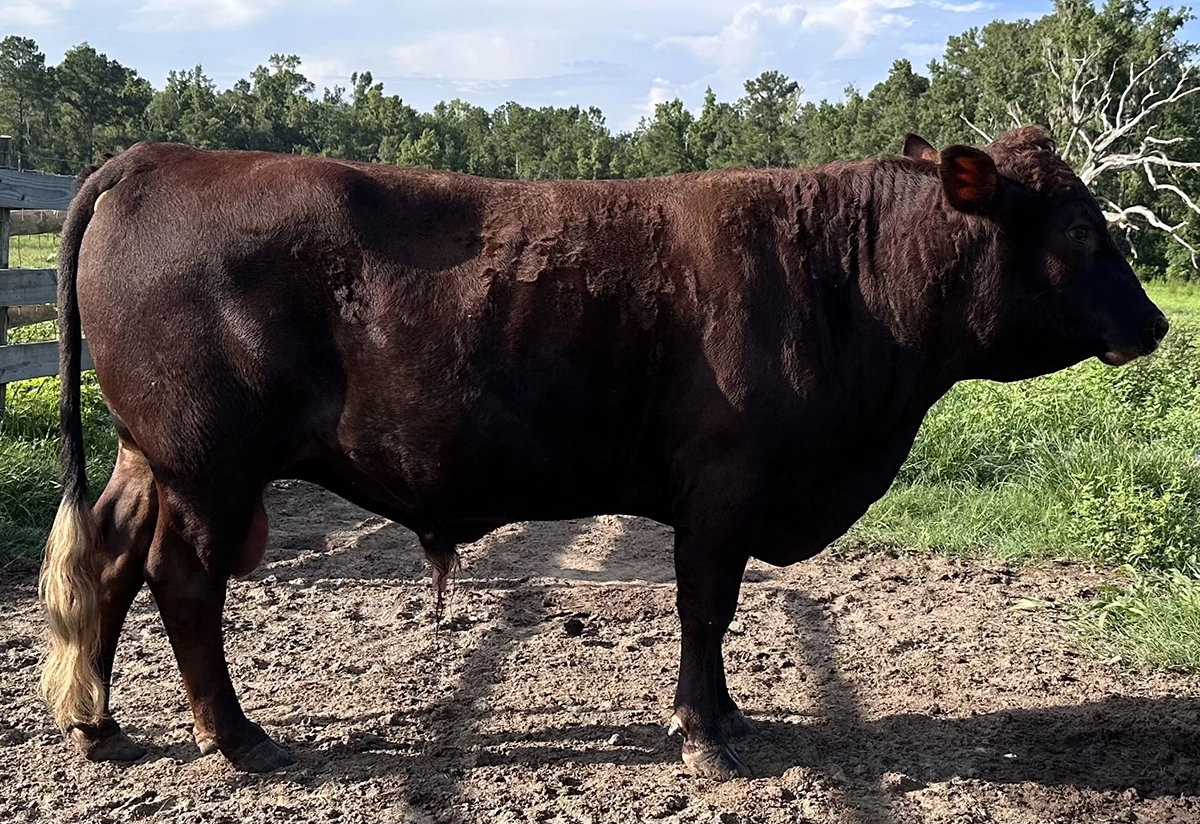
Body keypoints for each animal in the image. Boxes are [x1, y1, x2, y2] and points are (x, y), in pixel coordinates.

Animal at [38, 126, 1167, 781]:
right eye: (1079, 226)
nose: (1156, 321)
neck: (847, 274)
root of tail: (158, 157)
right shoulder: (725, 476)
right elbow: (706, 603)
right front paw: (704, 733)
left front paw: (729, 719)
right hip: (208, 463)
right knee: (184, 581)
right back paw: (236, 739)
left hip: (151, 458)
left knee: (110, 561)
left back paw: (102, 728)